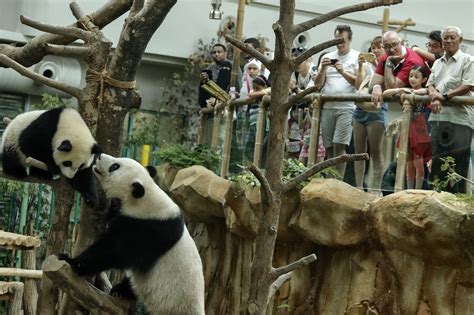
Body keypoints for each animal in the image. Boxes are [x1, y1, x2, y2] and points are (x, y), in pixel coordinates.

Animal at [58, 154, 205, 314]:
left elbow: (112, 251)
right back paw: (119, 291)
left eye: (115, 167)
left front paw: (71, 261)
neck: (147, 199)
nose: (100, 156)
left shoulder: (149, 229)